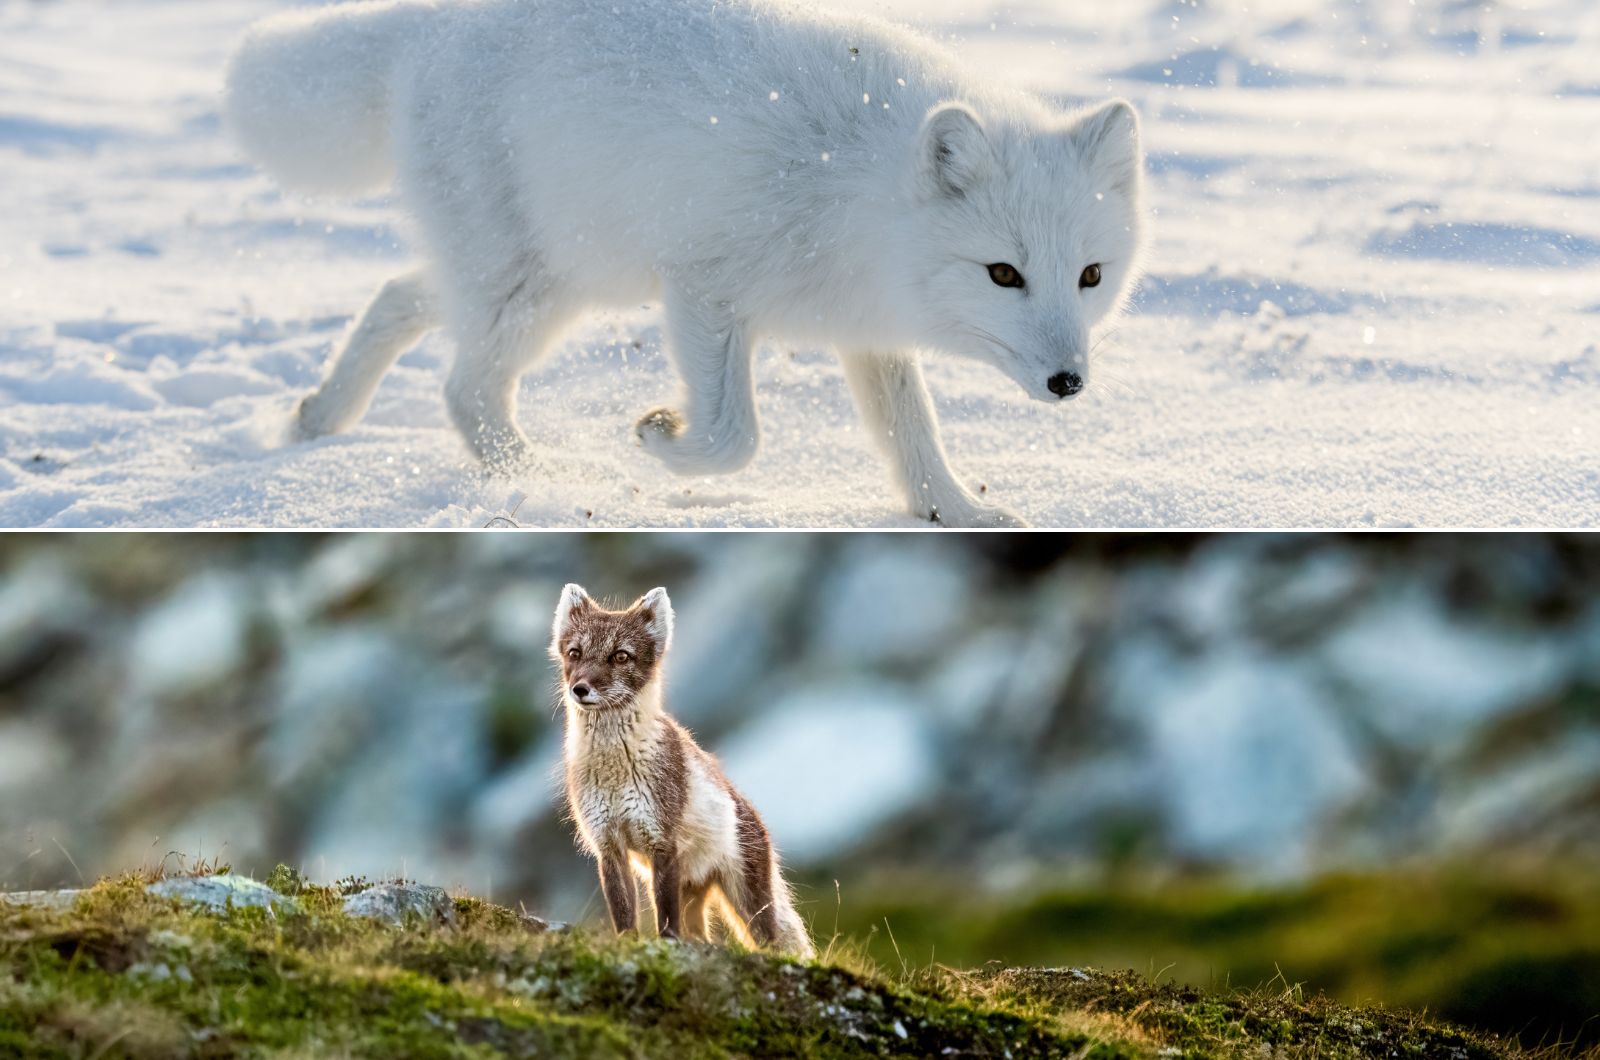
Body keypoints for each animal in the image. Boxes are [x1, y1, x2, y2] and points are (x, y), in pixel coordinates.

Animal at [228, 0, 1152, 528]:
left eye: (1090, 277)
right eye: (1004, 274)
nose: (1069, 383)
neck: (852, 179)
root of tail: (432, 25)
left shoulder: (865, 329)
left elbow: (913, 434)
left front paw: (955, 513)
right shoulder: (703, 287)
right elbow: (736, 437)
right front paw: (658, 439)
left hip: (552, 274)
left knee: (401, 296)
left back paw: (320, 416)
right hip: (538, 284)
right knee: (463, 386)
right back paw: (544, 476)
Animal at [556, 586, 819, 960]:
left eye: (620, 657)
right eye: (575, 653)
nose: (580, 688)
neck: (615, 769)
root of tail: (754, 816)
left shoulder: (661, 842)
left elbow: (666, 918)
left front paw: (666, 948)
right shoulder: (608, 845)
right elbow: (623, 914)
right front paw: (628, 944)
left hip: (748, 902)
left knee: (769, 939)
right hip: (695, 892)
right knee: (701, 935)